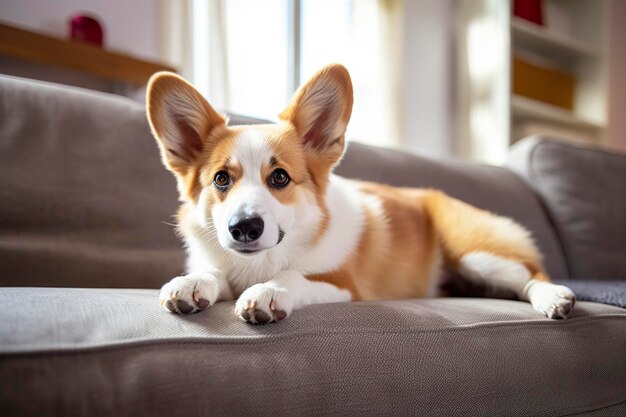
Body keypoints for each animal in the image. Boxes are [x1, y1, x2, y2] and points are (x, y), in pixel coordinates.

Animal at [146, 64, 576, 322]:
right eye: (221, 179)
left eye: (280, 178)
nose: (244, 228)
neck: (259, 262)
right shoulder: (220, 261)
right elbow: (212, 271)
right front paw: (190, 283)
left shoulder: (343, 285)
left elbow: (292, 276)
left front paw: (269, 291)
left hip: (476, 252)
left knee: (532, 274)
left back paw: (554, 297)